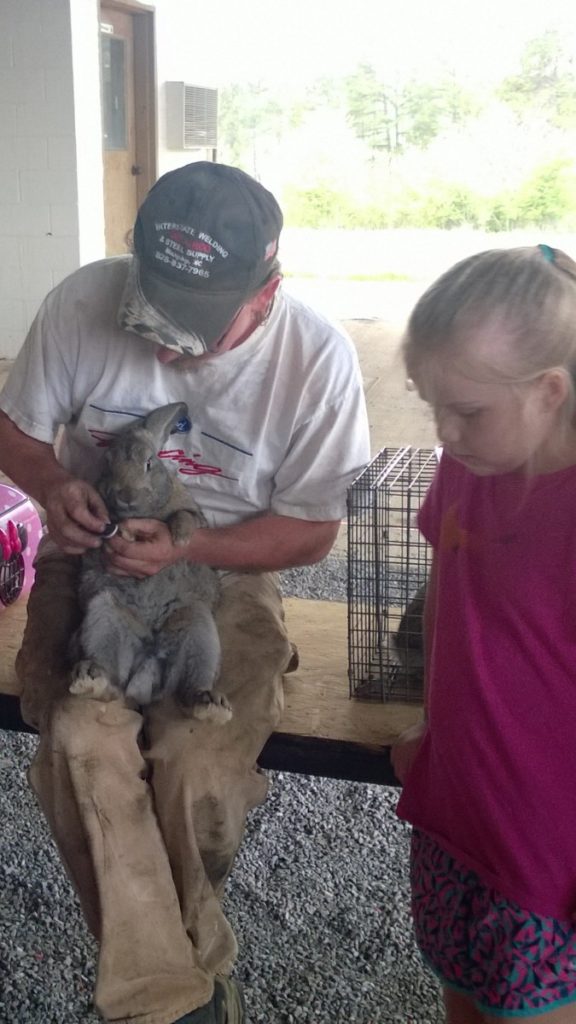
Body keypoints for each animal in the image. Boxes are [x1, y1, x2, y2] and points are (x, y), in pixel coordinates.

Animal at [67, 395, 228, 724]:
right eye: (107, 463)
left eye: (149, 463)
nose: (126, 495)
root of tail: (147, 660)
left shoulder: (189, 513)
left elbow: (184, 517)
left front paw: (180, 539)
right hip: (105, 613)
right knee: (110, 682)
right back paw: (90, 679)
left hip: (197, 627)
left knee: (189, 690)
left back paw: (210, 705)